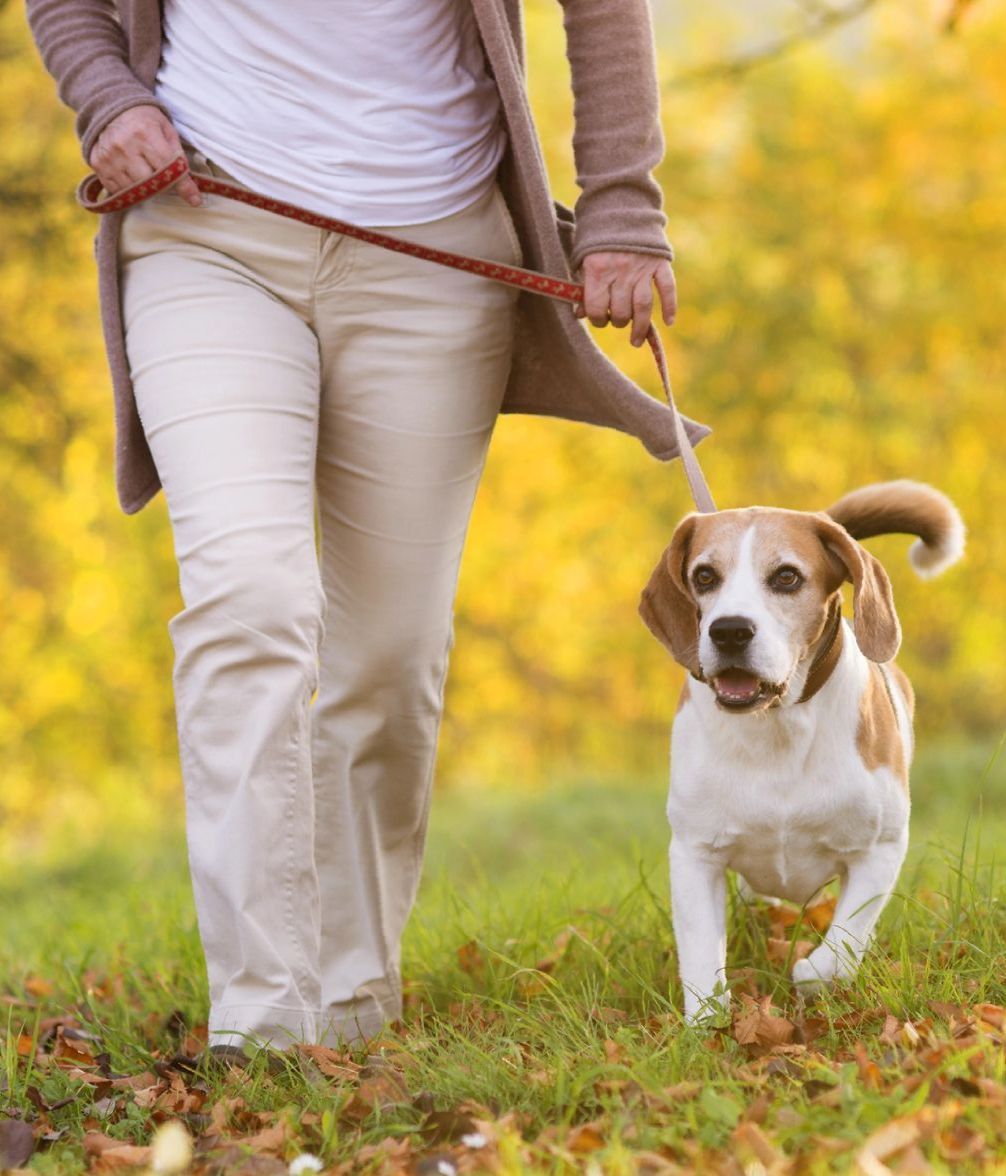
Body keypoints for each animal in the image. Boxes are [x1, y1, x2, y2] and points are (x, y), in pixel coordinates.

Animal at [640, 477, 964, 1020]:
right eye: (704, 576)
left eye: (787, 577)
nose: (729, 631)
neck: (777, 726)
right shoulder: (694, 853)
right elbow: (702, 953)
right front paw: (706, 1022)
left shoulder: (880, 849)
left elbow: (844, 943)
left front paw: (811, 973)